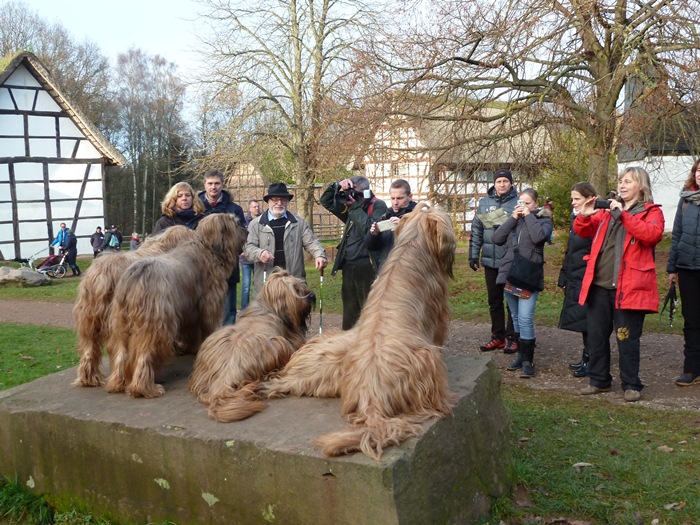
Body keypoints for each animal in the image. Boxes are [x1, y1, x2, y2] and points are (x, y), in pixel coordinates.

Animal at [104, 213, 246, 398]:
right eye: (235, 224)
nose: (247, 230)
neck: (207, 248)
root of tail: (133, 279)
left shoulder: (190, 310)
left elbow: (191, 331)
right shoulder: (210, 305)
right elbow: (210, 325)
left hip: (120, 323)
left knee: (121, 353)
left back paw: (117, 383)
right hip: (156, 324)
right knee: (144, 354)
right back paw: (145, 388)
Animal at [188, 269, 316, 422]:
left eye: (301, 284)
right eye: (296, 288)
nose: (312, 295)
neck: (269, 307)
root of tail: (227, 373)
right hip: (280, 344)